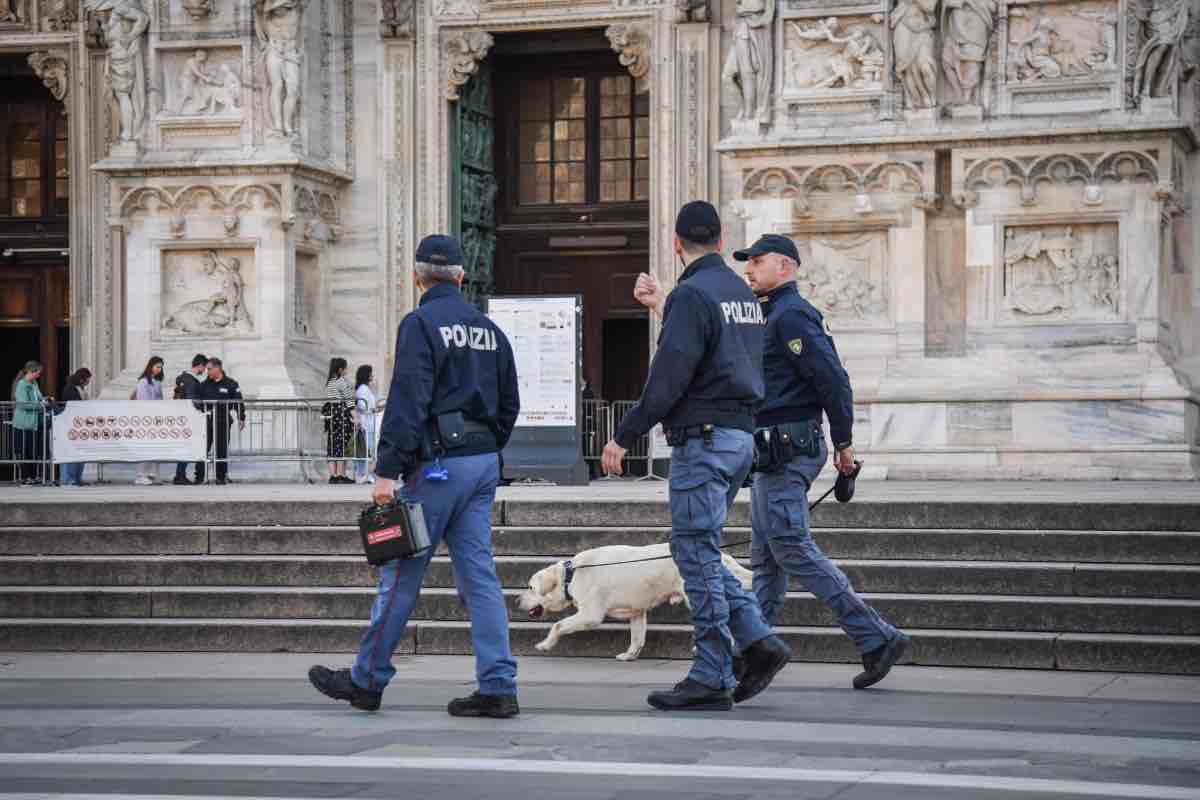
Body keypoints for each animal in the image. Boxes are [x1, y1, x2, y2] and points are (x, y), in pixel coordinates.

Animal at [516, 544, 748, 662]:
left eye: (531, 588)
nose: (517, 600)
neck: (570, 576)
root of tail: (722, 556)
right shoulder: (637, 611)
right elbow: (637, 638)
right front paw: (630, 655)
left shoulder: (590, 615)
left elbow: (558, 625)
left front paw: (545, 644)